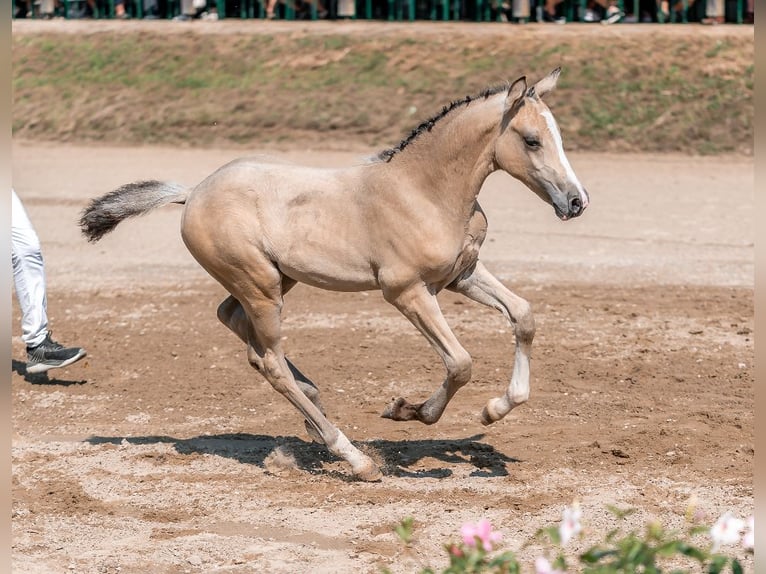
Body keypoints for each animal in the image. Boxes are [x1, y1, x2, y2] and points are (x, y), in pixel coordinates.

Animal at [79, 66, 588, 482]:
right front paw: (407, 411)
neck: (424, 191)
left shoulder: (461, 275)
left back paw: (314, 408)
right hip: (260, 287)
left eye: (558, 137)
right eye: (531, 139)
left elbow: (524, 316)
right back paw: (354, 458)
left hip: (276, 280)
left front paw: (493, 410)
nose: (576, 201)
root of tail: (194, 192)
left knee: (236, 325)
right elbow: (460, 363)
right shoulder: (406, 291)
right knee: (268, 361)